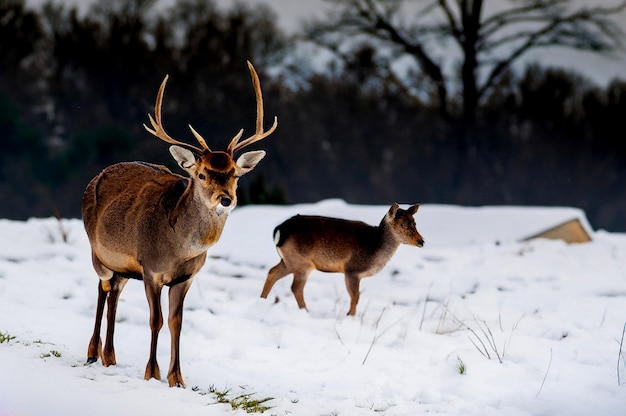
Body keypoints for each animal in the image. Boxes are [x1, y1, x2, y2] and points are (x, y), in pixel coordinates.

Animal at [81, 61, 276, 386]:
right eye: (201, 174)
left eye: (235, 174)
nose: (226, 200)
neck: (179, 250)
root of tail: (94, 177)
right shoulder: (151, 269)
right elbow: (155, 320)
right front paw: (152, 372)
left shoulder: (186, 277)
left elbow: (176, 322)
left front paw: (177, 378)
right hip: (100, 255)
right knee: (102, 288)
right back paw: (93, 353)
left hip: (124, 267)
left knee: (115, 296)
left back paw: (110, 357)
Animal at [258, 202, 424, 316]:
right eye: (403, 224)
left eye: (415, 223)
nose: (421, 241)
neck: (374, 249)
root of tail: (279, 230)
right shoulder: (352, 270)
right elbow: (355, 297)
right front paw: (350, 316)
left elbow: (356, 297)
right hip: (302, 263)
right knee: (296, 287)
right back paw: (306, 311)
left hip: (289, 261)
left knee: (272, 272)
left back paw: (262, 300)